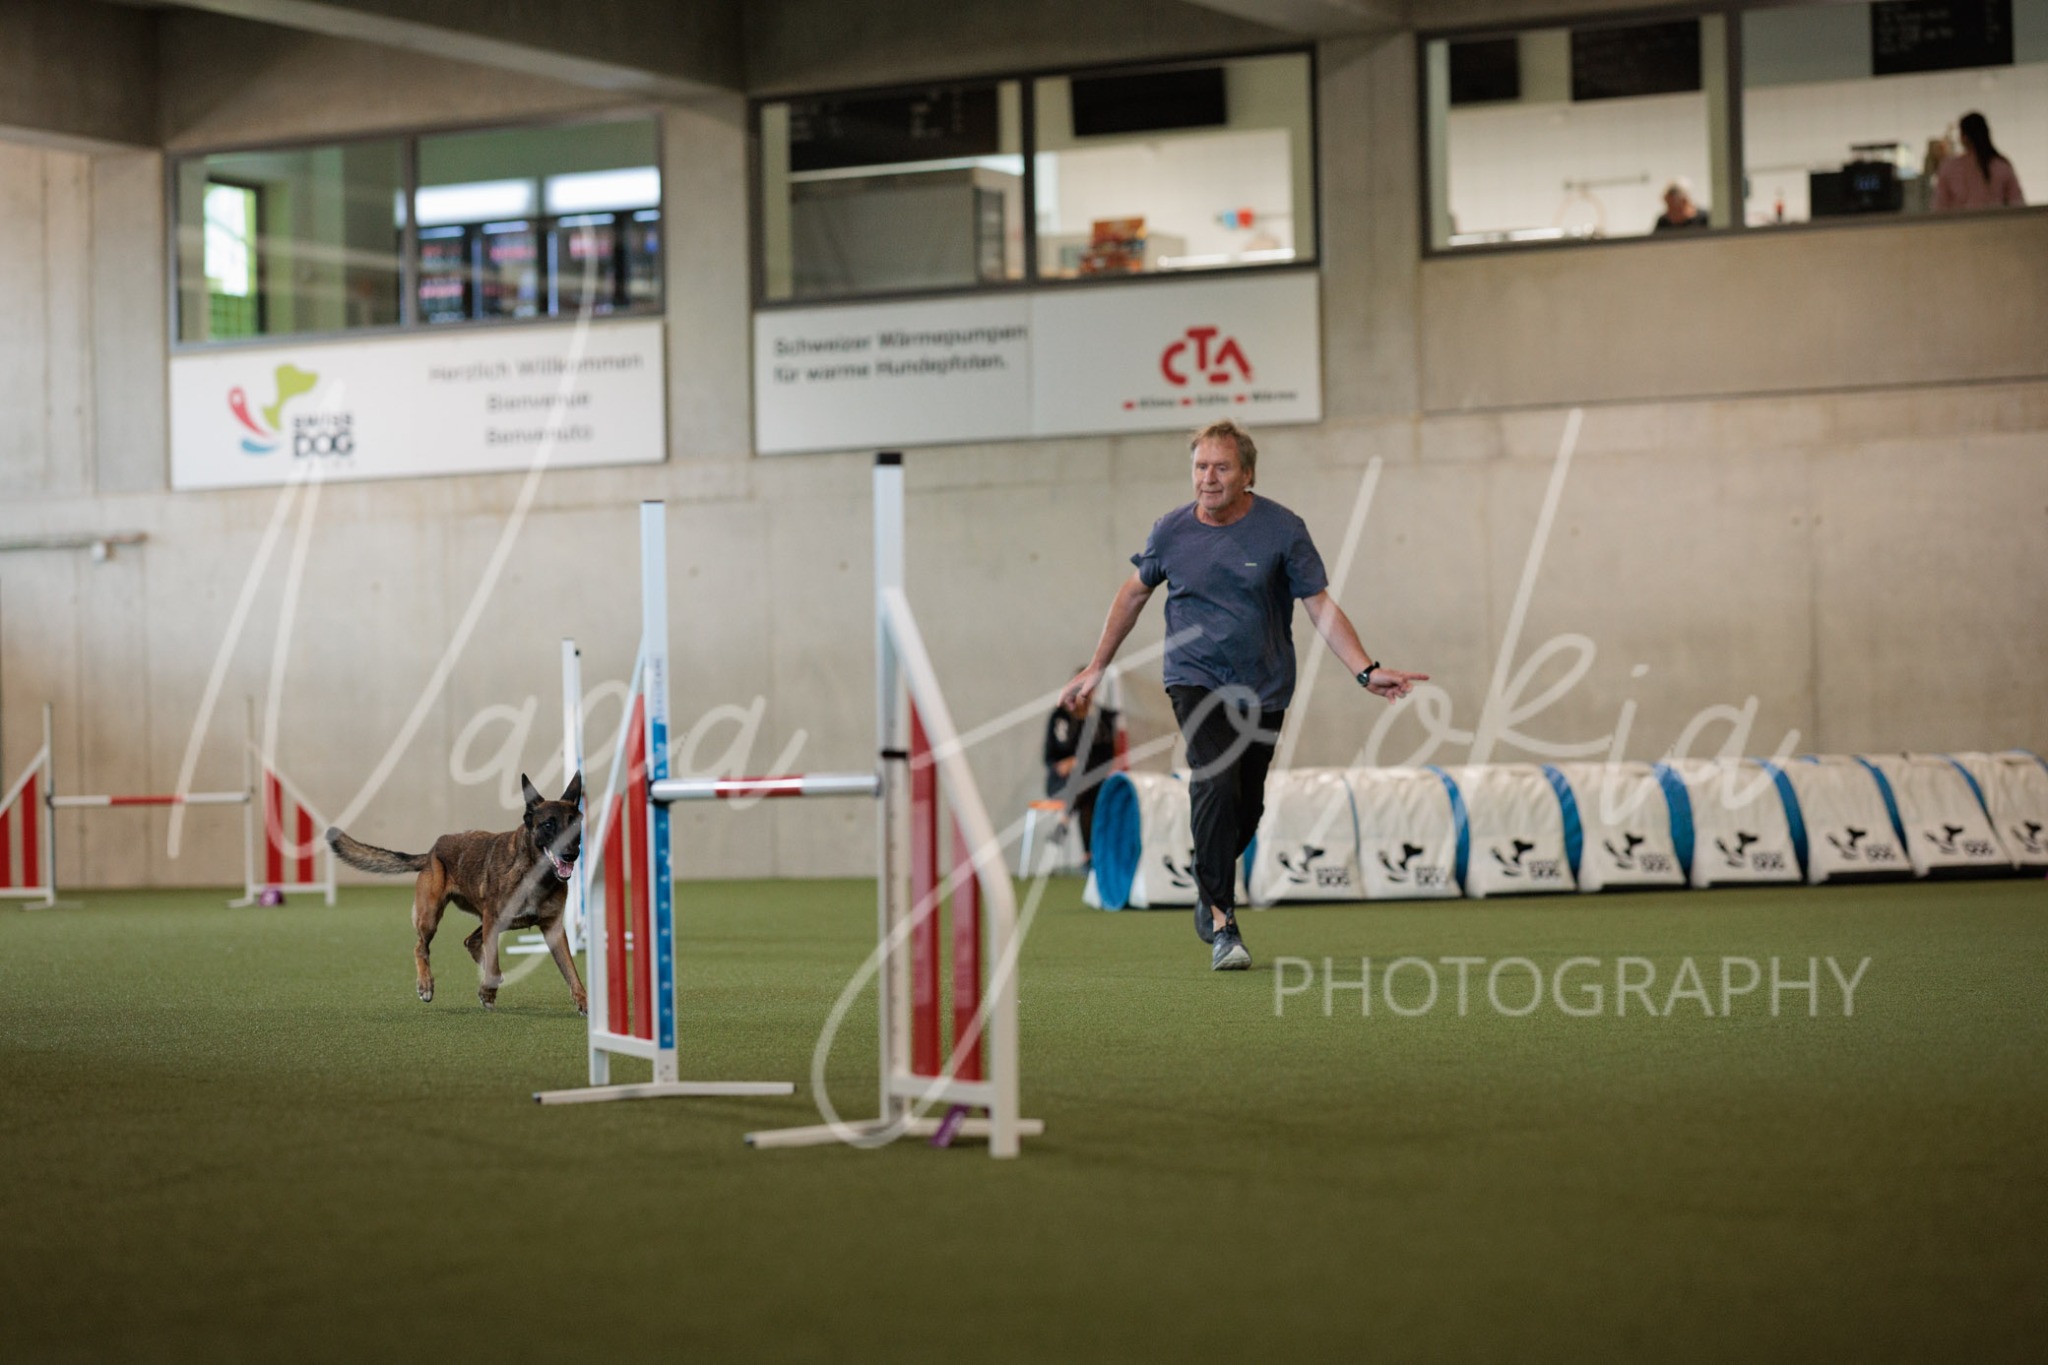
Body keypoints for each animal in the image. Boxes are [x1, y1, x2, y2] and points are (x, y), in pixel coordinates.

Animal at [327, 774, 587, 1014]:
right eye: (548, 825)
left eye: (574, 825)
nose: (571, 854)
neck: (535, 873)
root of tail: (432, 850)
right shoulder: (494, 920)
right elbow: (493, 963)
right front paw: (487, 991)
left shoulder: (552, 930)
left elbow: (571, 971)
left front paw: (583, 1002)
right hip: (432, 916)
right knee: (421, 947)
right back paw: (426, 985)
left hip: (487, 920)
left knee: (471, 941)